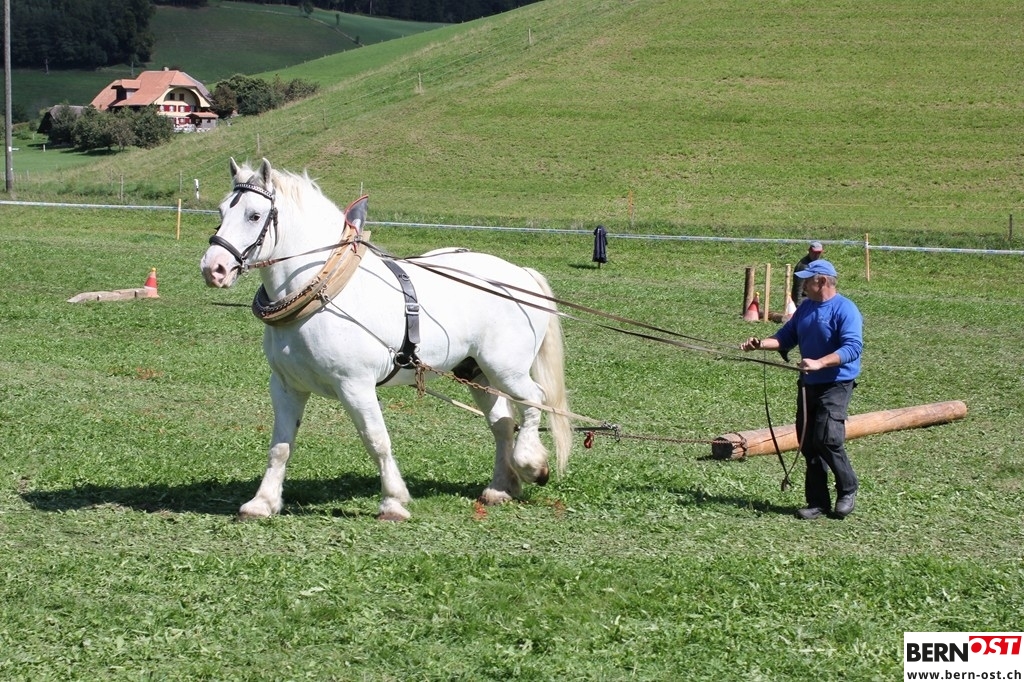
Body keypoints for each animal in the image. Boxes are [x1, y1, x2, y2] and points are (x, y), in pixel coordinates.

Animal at [200, 158, 572, 520]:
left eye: (254, 215)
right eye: (221, 210)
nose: (213, 268)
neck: (325, 293)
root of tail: (521, 274)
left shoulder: (355, 385)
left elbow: (376, 440)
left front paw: (393, 501)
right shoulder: (287, 386)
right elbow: (280, 446)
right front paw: (262, 502)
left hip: (506, 368)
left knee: (534, 400)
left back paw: (531, 465)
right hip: (476, 372)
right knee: (503, 423)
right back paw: (500, 487)